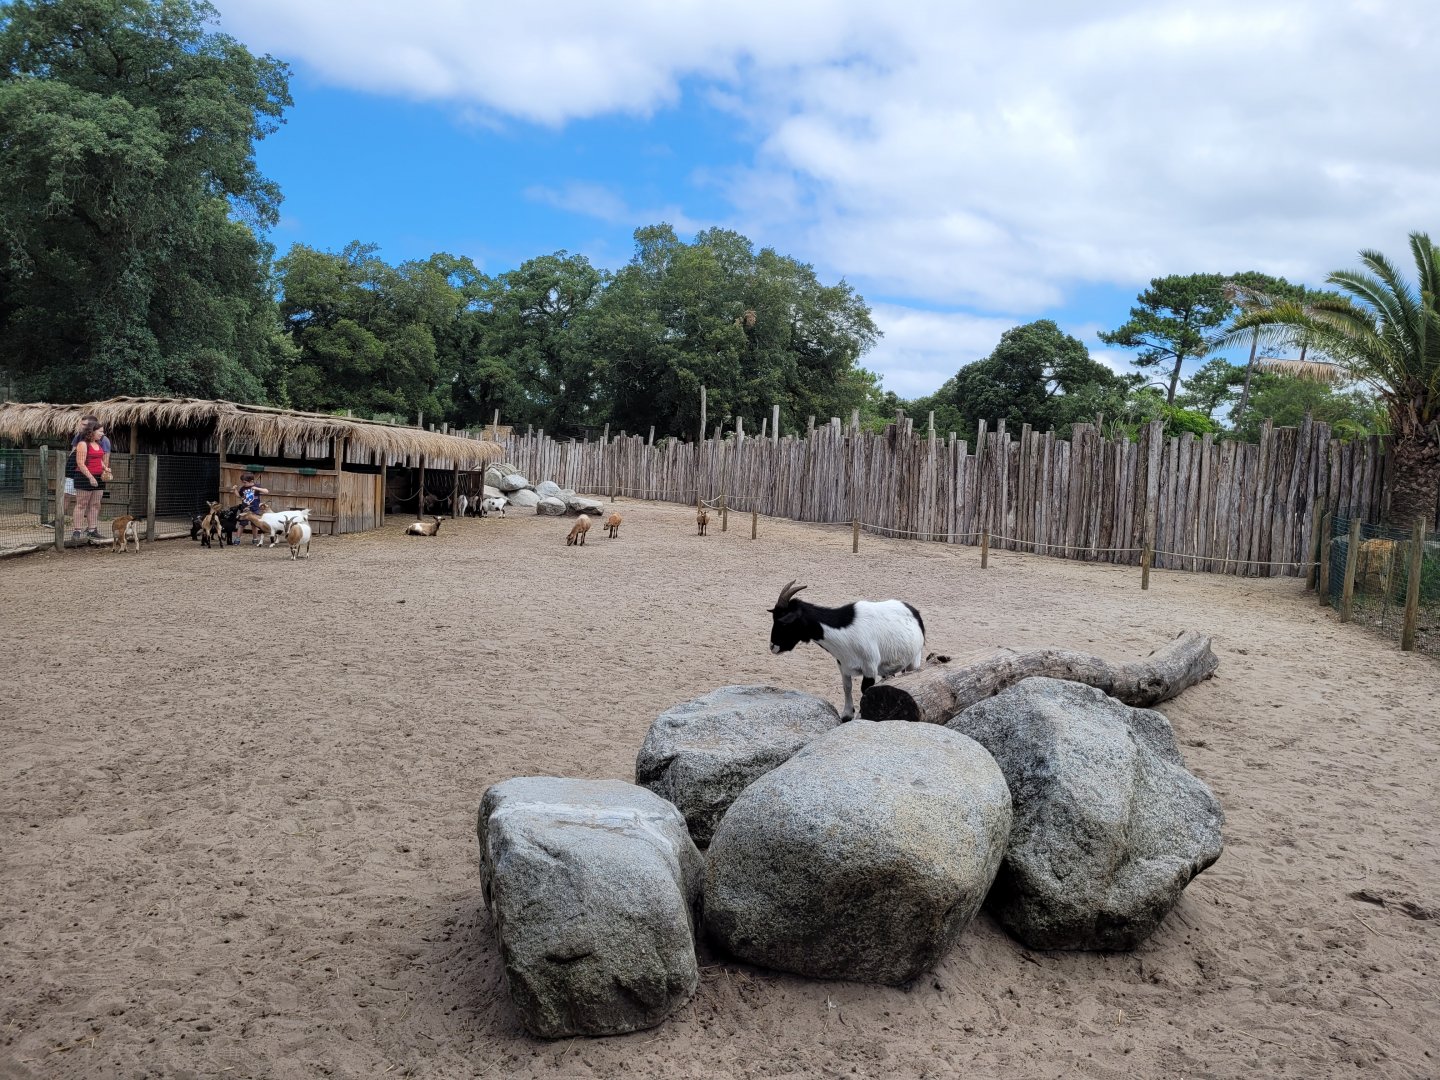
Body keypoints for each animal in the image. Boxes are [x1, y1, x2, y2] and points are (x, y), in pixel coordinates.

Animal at [768, 579, 926, 721]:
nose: (772, 646)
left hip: (915, 658)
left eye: (783, 622)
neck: (845, 629)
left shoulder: (870, 666)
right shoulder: (842, 665)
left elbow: (865, 689)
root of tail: (914, 612)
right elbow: (847, 687)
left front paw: (860, 716)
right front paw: (847, 714)